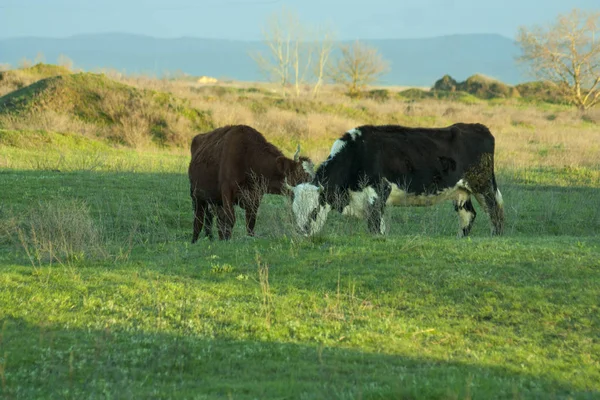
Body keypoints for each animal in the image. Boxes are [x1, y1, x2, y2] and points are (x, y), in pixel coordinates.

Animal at [288, 123, 504, 236]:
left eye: (314, 211)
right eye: (294, 211)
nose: (302, 234)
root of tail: (478, 127)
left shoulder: (378, 192)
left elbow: (375, 226)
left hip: (483, 185)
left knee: (495, 212)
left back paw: (495, 236)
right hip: (461, 191)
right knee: (468, 215)